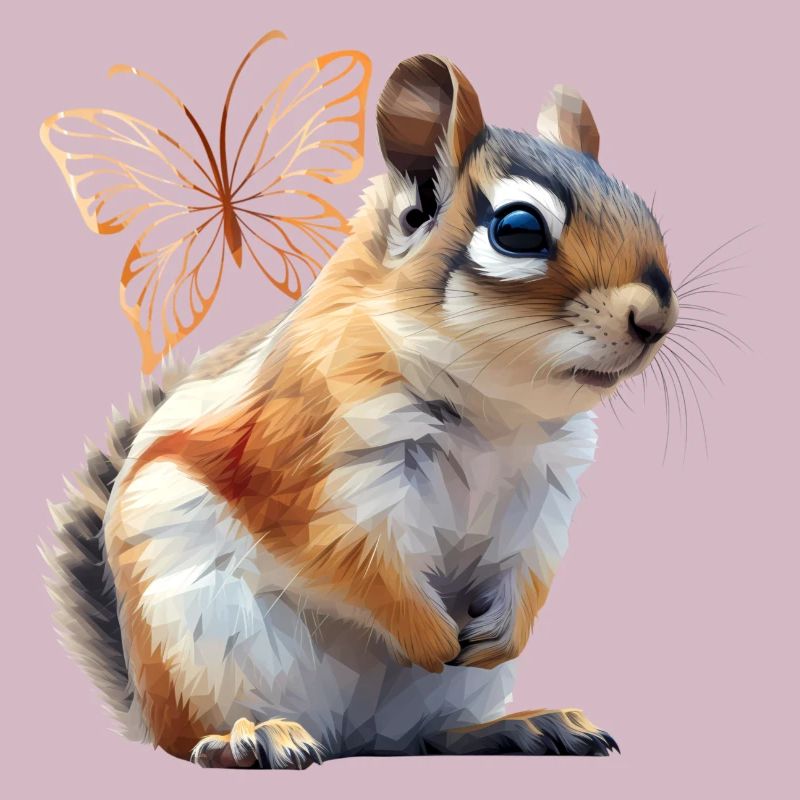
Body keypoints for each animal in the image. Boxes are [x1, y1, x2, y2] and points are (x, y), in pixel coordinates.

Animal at [45, 54, 678, 768]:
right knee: (195, 740)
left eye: (643, 209)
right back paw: (251, 737)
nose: (655, 318)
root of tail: (351, 738)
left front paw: (505, 631)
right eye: (518, 229)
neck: (496, 411)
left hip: (443, 699)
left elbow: (532, 565)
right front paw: (429, 633)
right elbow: (354, 560)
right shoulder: (316, 457)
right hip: (203, 644)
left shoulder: (545, 488)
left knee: (429, 738)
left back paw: (523, 726)